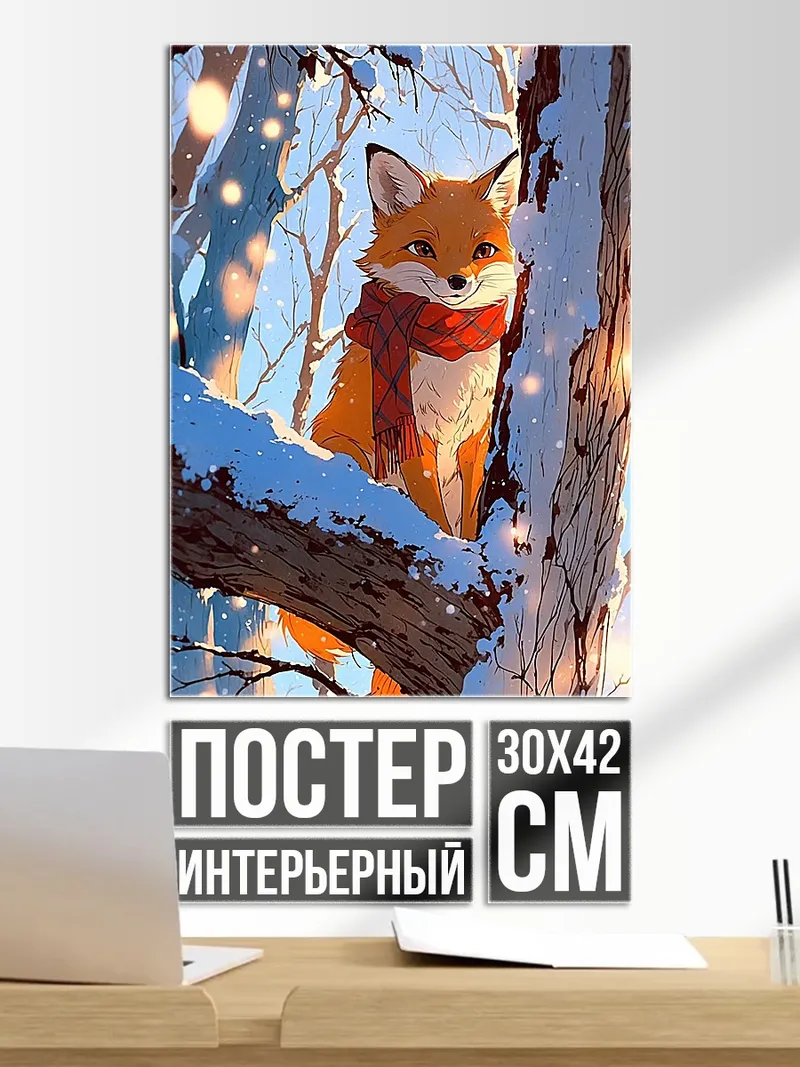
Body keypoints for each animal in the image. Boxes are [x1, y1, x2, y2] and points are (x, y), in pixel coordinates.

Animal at [282, 143, 520, 695]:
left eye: (483, 251)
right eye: (423, 248)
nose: (458, 281)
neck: (448, 351)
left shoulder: (474, 437)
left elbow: (468, 513)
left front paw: (470, 550)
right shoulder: (417, 439)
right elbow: (433, 514)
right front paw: (452, 562)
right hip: (351, 450)